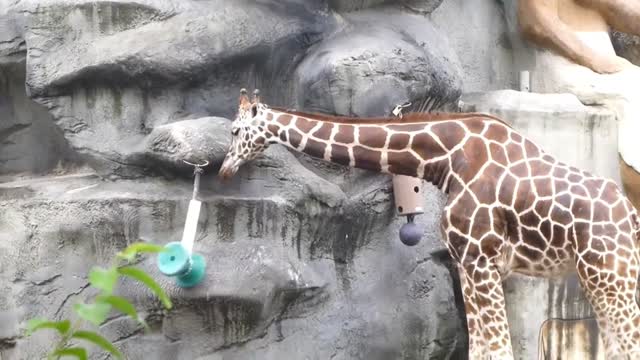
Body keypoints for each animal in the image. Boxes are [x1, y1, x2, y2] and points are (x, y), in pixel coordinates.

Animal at [219, 88, 640, 358]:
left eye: (235, 131)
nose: (224, 170)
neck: (445, 158)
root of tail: (631, 216)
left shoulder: (481, 261)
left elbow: (499, 348)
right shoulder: (468, 264)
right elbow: (481, 350)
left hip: (610, 274)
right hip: (598, 277)